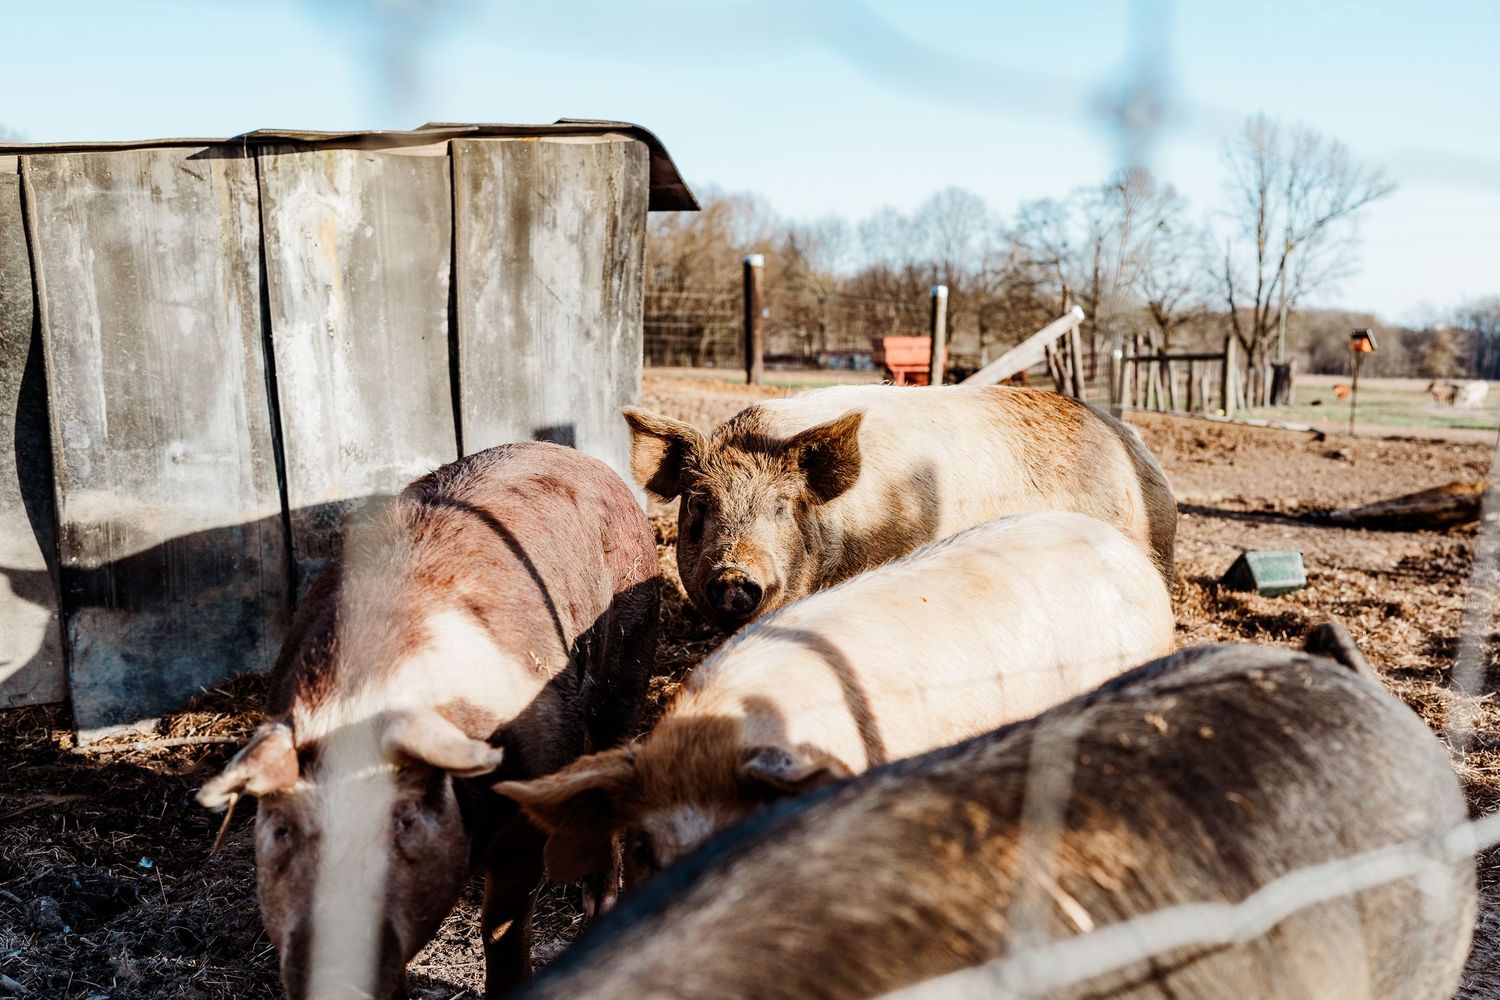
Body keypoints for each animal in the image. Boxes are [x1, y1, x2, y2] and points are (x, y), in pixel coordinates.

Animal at [196, 442, 659, 1000]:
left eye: (406, 821)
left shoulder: (527, 800)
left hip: (631, 654)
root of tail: (575, 455)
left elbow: (503, 925)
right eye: (282, 828)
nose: (336, 975)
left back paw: (597, 905)